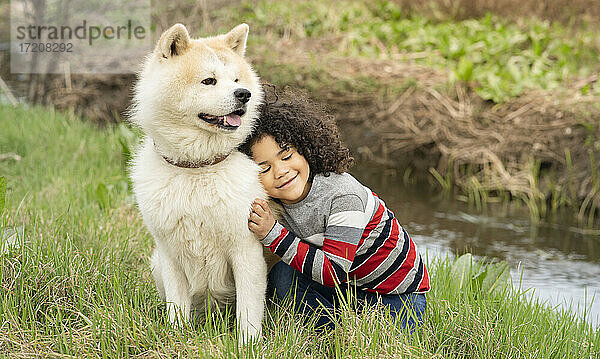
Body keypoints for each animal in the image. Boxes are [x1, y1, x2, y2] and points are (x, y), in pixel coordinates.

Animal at [131, 23, 268, 344]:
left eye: (236, 80)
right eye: (209, 81)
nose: (244, 94)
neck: (198, 168)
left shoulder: (245, 249)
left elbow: (249, 309)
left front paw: (248, 345)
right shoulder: (169, 252)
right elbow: (177, 303)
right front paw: (176, 335)